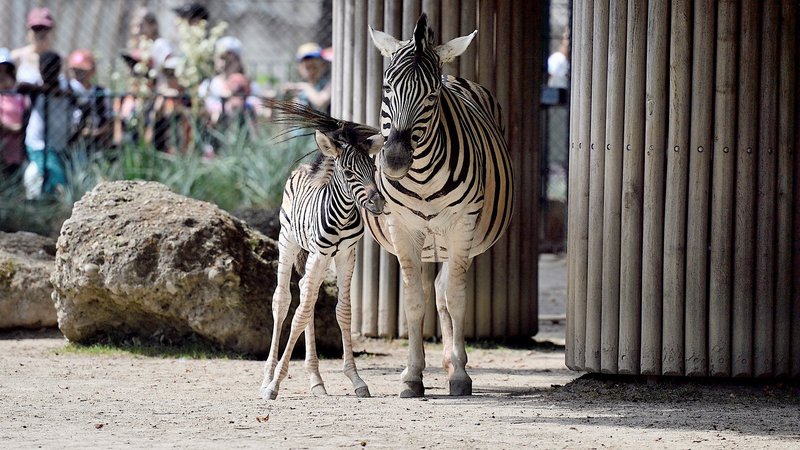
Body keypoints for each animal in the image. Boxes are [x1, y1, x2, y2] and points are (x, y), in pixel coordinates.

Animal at [368, 12, 512, 396]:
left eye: (431, 96)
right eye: (387, 88)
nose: (395, 160)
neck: (420, 175)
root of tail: (454, 74)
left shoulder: (462, 223)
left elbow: (456, 299)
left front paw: (460, 375)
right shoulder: (402, 227)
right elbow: (414, 302)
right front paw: (411, 375)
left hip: (461, 237)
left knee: (447, 290)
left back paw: (453, 363)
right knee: (436, 290)